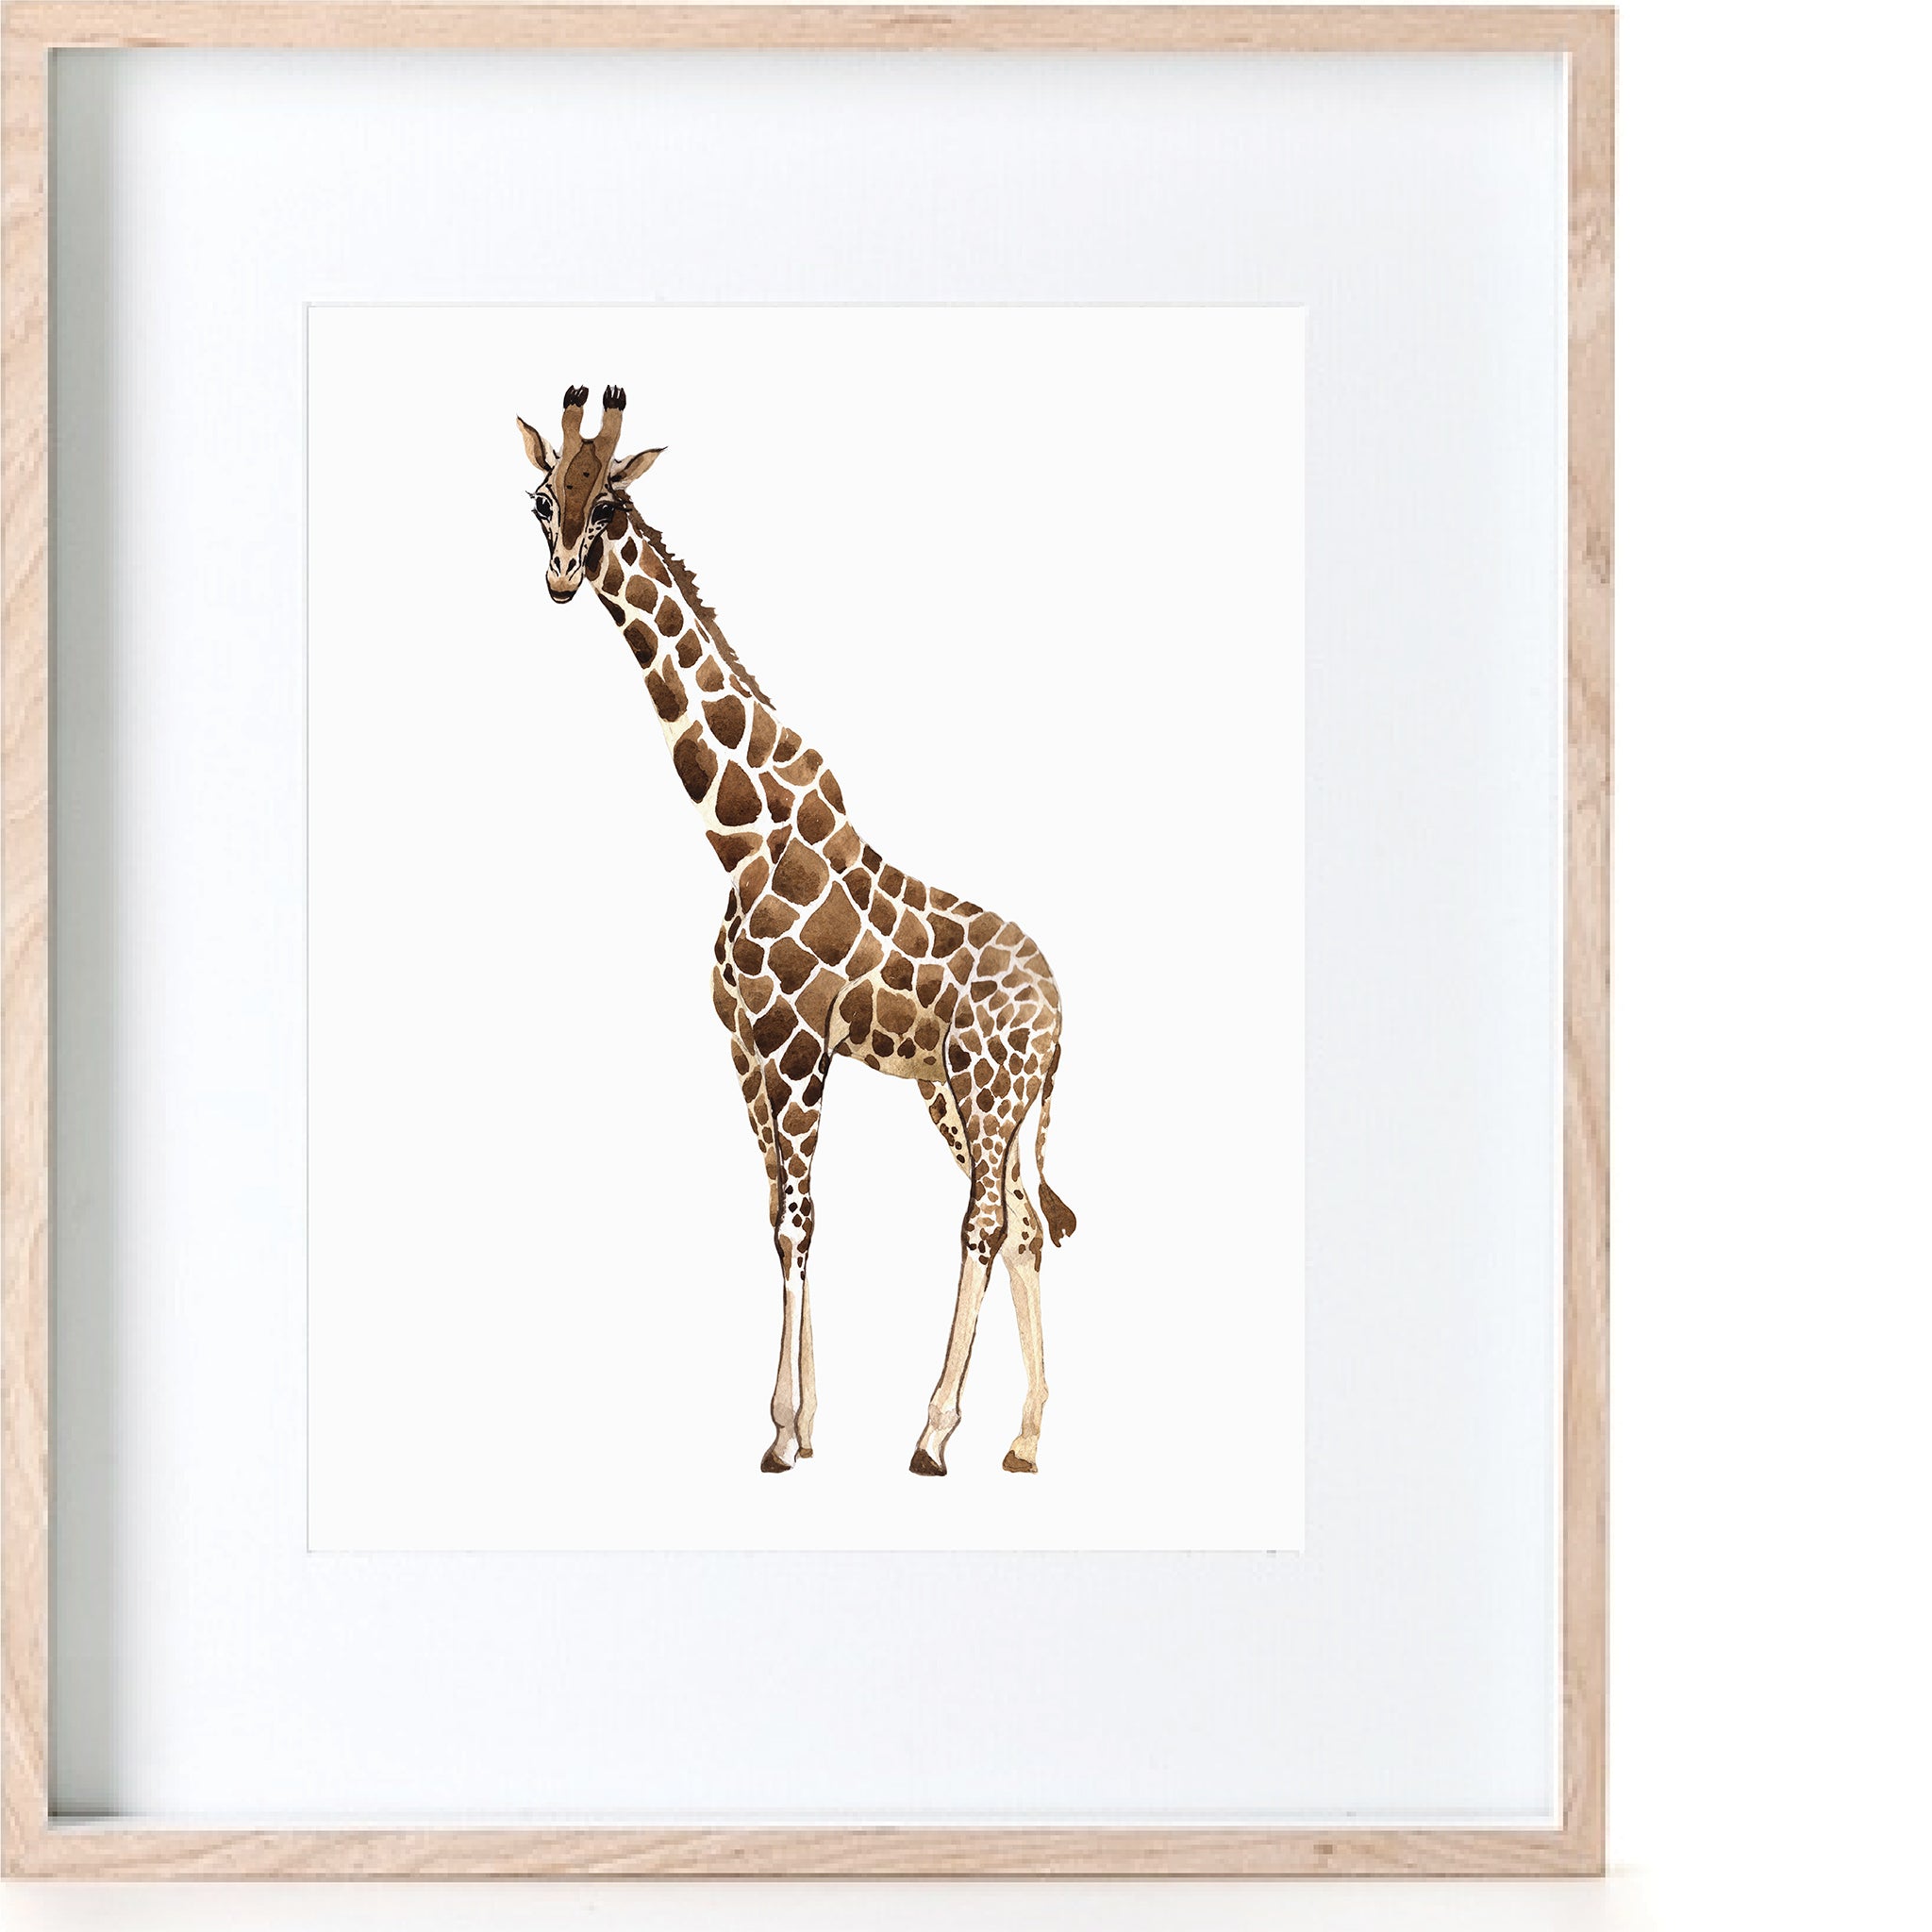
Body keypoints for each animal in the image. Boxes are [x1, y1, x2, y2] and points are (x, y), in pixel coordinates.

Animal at [517, 386, 1077, 1476]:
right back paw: (1026, 1438)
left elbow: (798, 1221)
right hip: (962, 1096)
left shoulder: (793, 1045)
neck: (738, 836)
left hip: (987, 1088)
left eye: (607, 503)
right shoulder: (744, 1048)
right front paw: (805, 1422)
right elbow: (776, 1209)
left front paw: (780, 1432)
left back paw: (934, 1433)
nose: (560, 577)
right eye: (538, 498)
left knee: (985, 1219)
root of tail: (1062, 1010)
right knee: (1027, 1220)